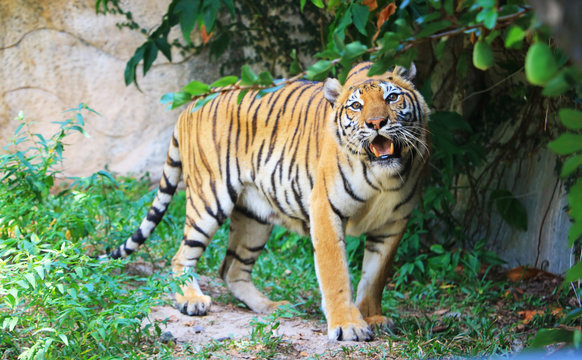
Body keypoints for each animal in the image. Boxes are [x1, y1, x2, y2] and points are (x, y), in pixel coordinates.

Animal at [107, 62, 432, 344]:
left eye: (392, 97)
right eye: (356, 106)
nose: (377, 123)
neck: (383, 177)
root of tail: (193, 101)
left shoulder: (393, 223)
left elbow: (375, 276)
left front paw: (373, 317)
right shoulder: (326, 210)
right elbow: (336, 274)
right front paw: (348, 325)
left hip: (255, 217)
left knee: (231, 270)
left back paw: (272, 306)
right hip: (209, 198)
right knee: (181, 257)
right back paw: (191, 300)